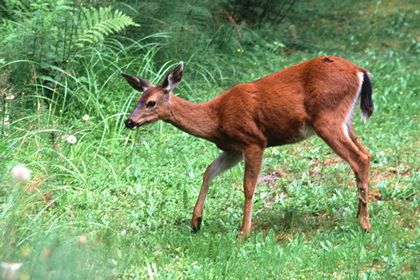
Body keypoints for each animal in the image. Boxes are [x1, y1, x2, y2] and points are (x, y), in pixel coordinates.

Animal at [121, 55, 374, 237]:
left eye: (151, 103)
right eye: (137, 100)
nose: (129, 121)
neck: (216, 117)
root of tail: (360, 71)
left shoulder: (254, 140)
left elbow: (248, 186)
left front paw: (244, 232)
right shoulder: (233, 149)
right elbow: (208, 171)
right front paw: (196, 222)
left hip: (327, 118)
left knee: (358, 158)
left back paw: (364, 224)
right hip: (345, 121)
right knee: (366, 153)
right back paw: (358, 214)